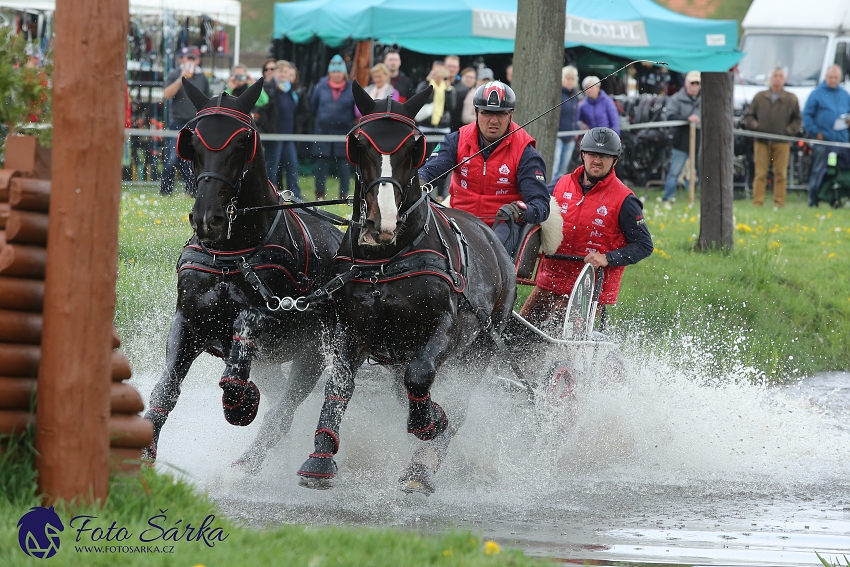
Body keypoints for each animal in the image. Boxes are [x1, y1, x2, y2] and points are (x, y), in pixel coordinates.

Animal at [144, 77, 342, 472]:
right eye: (193, 141)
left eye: (241, 143)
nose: (208, 217)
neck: (231, 254)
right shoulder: (188, 320)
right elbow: (167, 388)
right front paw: (144, 448)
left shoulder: (284, 322)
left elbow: (247, 321)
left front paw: (239, 400)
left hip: (311, 353)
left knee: (283, 412)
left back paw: (248, 464)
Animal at [294, 82, 512, 494]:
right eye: (358, 143)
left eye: (414, 146)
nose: (382, 223)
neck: (387, 258)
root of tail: (494, 238)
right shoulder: (349, 330)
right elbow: (339, 386)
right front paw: (320, 457)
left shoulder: (445, 327)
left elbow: (421, 375)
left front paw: (429, 423)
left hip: (481, 349)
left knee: (456, 404)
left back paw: (421, 467)